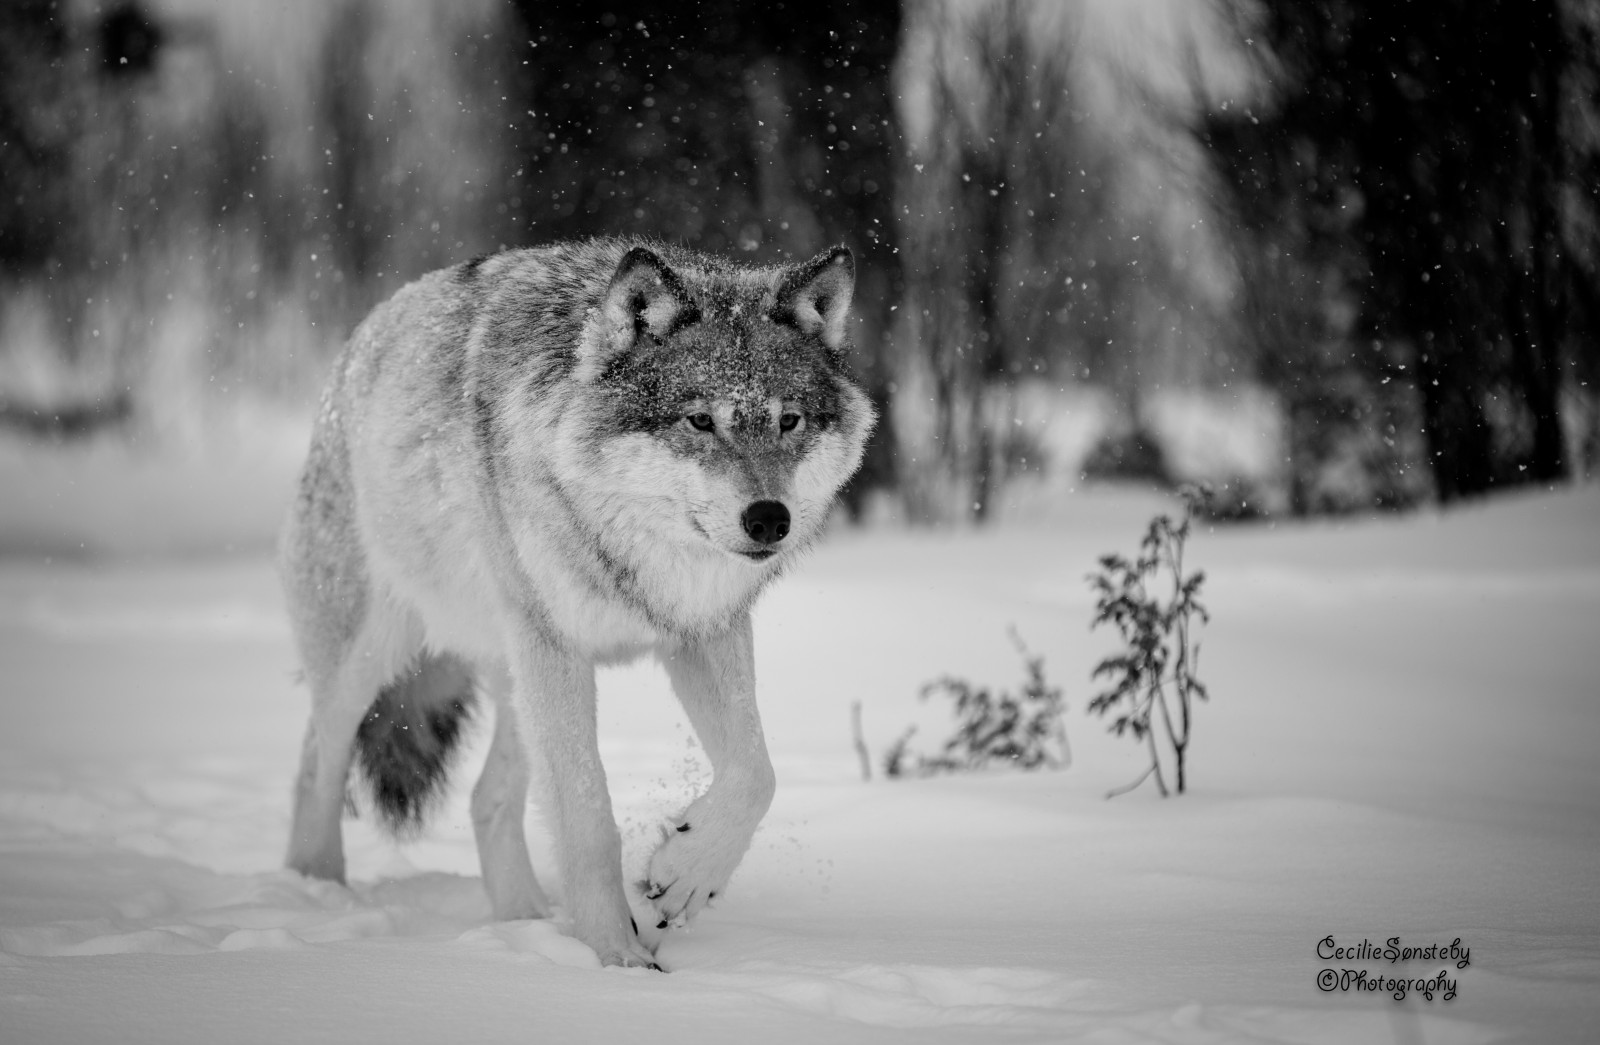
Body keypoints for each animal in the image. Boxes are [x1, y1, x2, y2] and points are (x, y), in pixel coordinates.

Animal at [279, 238, 875, 969]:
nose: (769, 519)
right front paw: (617, 960)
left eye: (789, 420)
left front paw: (684, 875)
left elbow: (756, 774)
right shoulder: (557, 649)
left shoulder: (703, 632)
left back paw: (526, 925)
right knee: (317, 763)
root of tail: (363, 337)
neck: (636, 553)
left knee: (486, 800)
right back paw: (315, 897)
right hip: (371, 660)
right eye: (700, 420)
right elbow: (589, 815)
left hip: (514, 681)